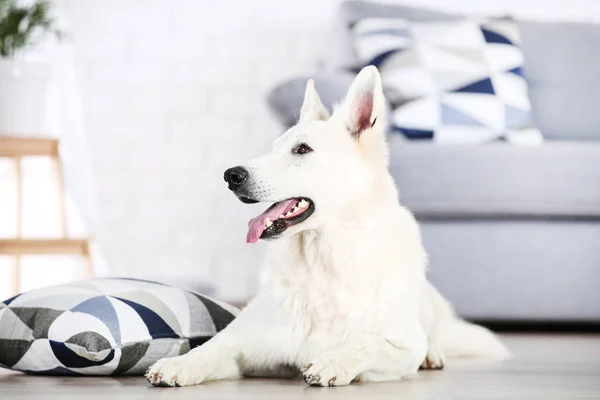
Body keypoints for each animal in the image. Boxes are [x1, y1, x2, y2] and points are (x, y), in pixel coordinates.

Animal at [148, 65, 508, 388]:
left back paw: (434, 355)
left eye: (301, 149)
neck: (322, 262)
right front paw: (177, 364)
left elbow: (368, 342)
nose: (230, 176)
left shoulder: (403, 348)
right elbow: (209, 349)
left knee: (433, 335)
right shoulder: (244, 345)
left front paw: (332, 362)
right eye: (274, 147)